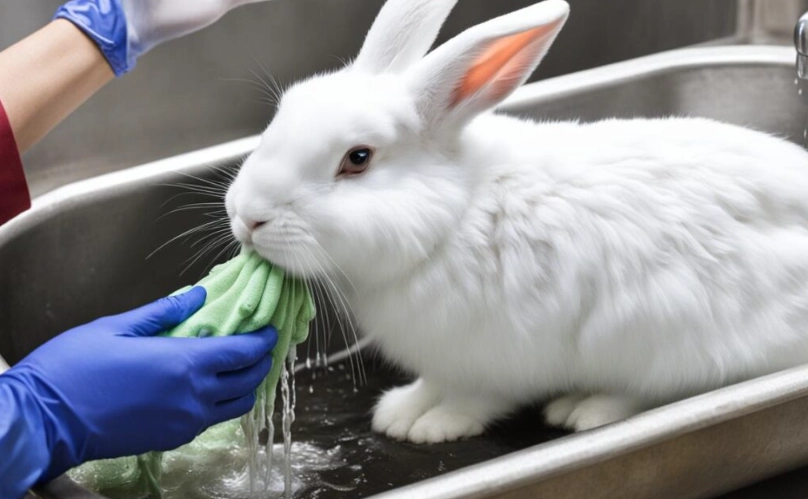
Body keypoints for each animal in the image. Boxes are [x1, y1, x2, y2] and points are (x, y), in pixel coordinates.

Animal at [225, 0, 808, 444]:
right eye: (286, 106)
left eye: (358, 158)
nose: (246, 216)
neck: (452, 218)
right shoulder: (443, 361)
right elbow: (431, 384)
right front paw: (400, 412)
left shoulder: (495, 363)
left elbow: (475, 399)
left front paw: (432, 427)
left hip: (668, 337)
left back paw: (585, 410)